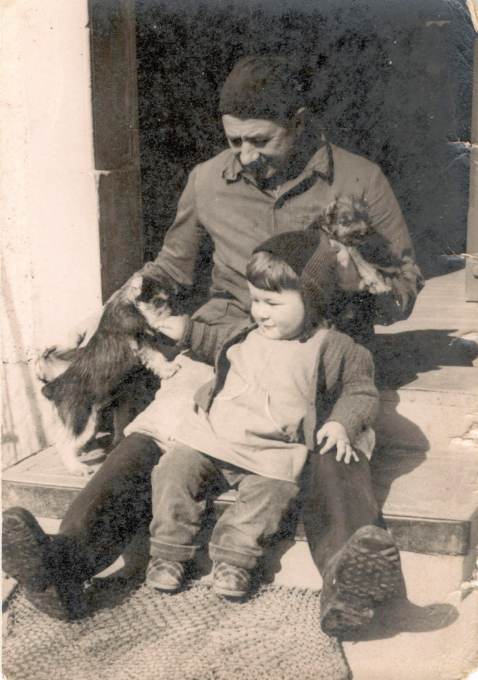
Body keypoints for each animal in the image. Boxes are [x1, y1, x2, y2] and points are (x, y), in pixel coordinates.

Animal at [37, 275, 181, 476]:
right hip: (83, 421)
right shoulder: (140, 342)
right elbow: (156, 355)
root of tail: (54, 386)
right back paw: (78, 468)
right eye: (158, 301)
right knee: (64, 444)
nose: (174, 312)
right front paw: (169, 368)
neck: (127, 304)